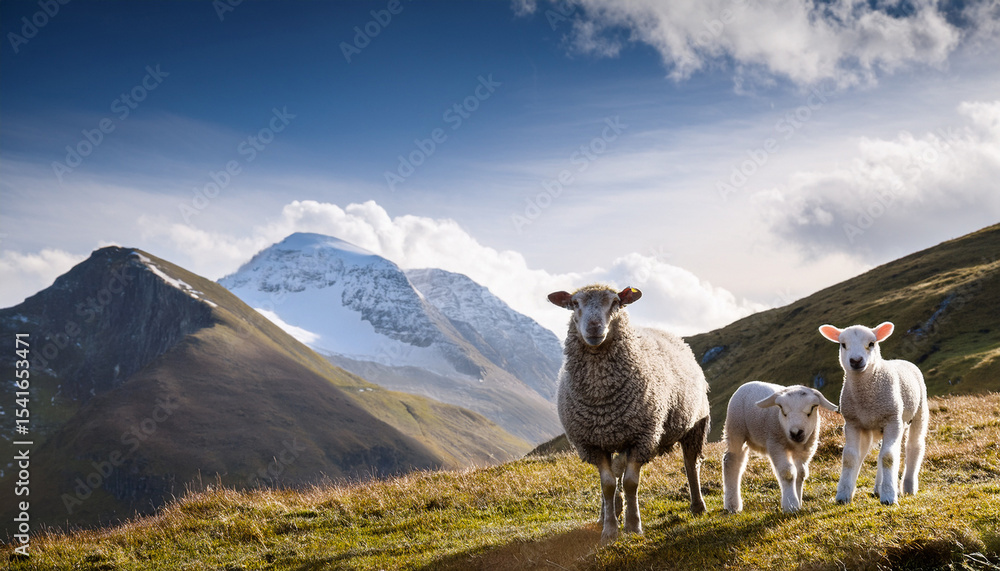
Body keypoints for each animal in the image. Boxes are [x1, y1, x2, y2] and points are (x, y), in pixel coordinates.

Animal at [548, 284, 711, 544]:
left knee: (691, 464)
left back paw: (697, 506)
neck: (602, 400)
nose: (594, 327)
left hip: (695, 424)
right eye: (574, 303)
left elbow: (631, 483)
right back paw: (608, 513)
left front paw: (633, 526)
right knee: (617, 472)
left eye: (615, 302)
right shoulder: (593, 444)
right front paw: (609, 530)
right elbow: (607, 484)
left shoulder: (642, 437)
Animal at [723, 382, 838, 513]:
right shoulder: (775, 444)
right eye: (782, 410)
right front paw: (791, 504)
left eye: (812, 408)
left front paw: (798, 501)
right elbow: (788, 473)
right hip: (736, 429)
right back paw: (732, 505)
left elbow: (801, 473)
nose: (796, 432)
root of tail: (747, 384)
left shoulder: (806, 448)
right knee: (732, 463)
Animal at [819, 322, 929, 505]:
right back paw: (878, 487)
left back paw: (908, 487)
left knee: (913, 446)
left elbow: (889, 457)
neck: (866, 399)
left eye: (871, 343)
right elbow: (850, 457)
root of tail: (902, 360)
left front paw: (889, 496)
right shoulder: (853, 423)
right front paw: (843, 494)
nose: (856, 361)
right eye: (843, 344)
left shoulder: (892, 420)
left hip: (918, 412)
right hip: (874, 428)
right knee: (874, 454)